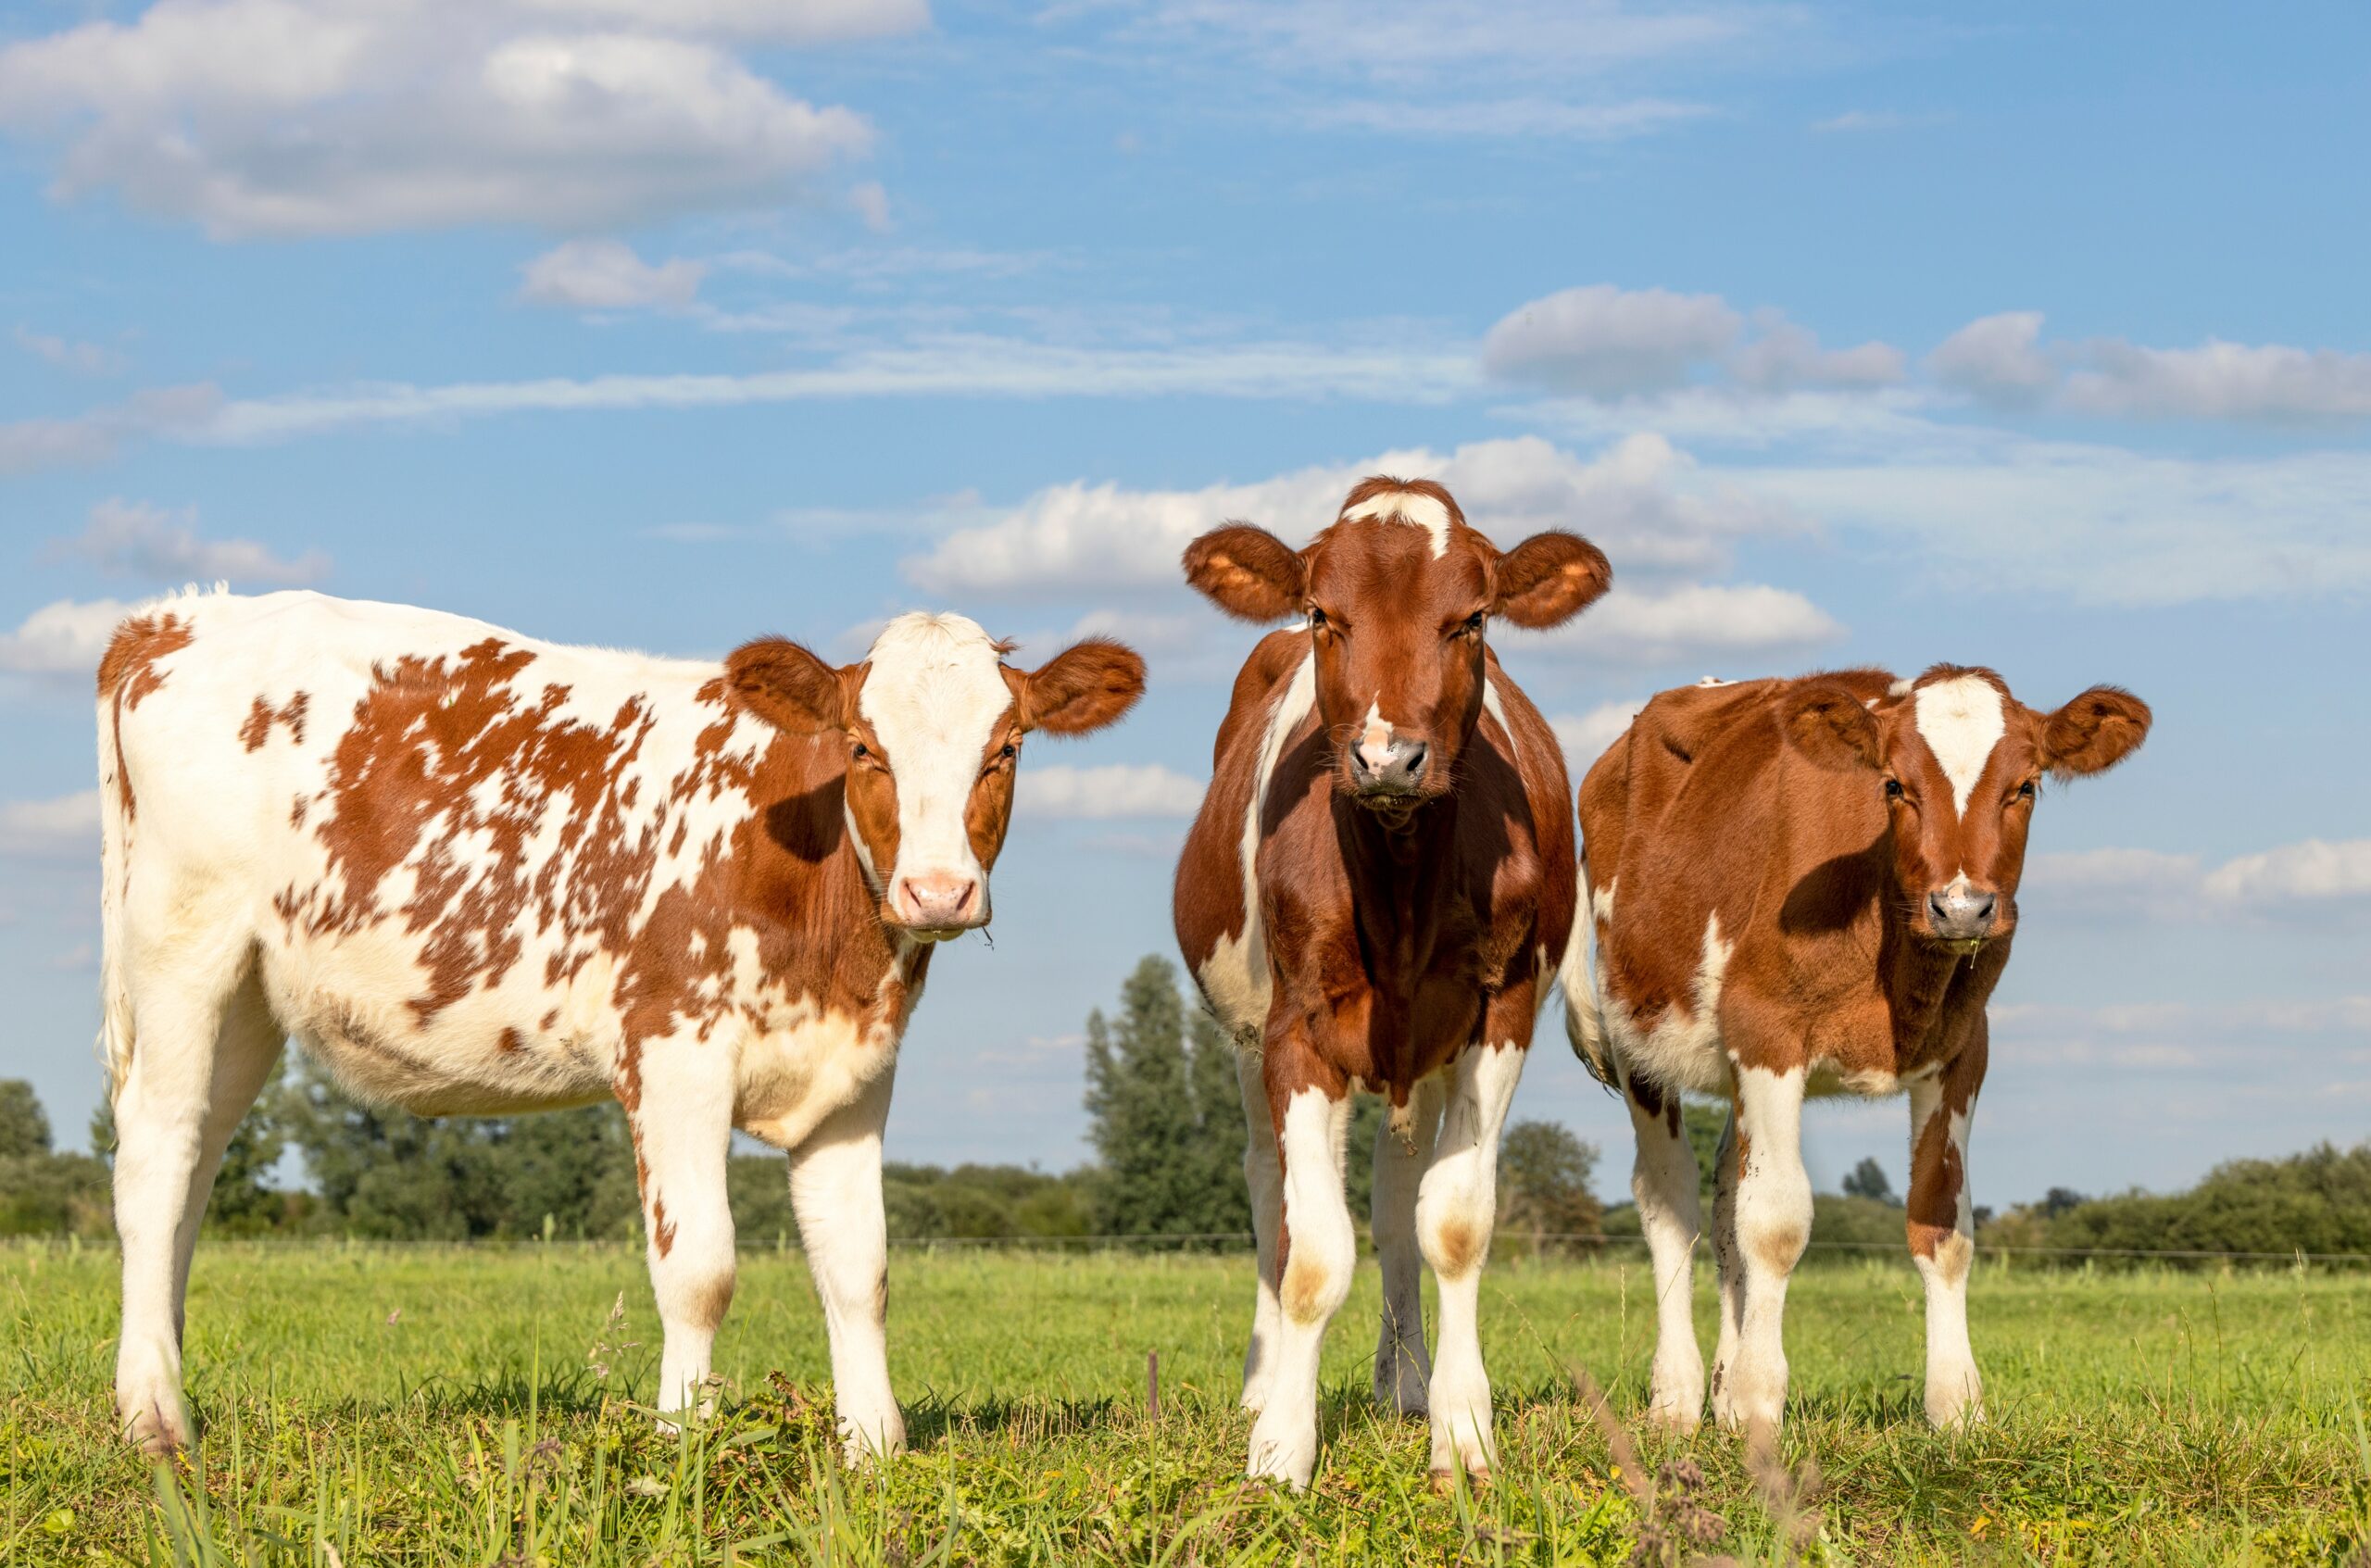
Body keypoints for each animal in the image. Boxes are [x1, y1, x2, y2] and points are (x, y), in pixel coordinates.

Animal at [95, 588, 1143, 1457]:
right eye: (861, 747)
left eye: (1006, 748)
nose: (937, 890)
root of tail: (172, 619)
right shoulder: (674, 1051)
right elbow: (700, 1268)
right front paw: (682, 1440)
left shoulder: (857, 1071)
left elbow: (859, 1266)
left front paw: (872, 1452)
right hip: (184, 948)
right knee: (153, 1154)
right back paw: (153, 1416)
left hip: (248, 996)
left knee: (196, 1161)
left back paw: (168, 1370)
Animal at [1172, 477, 1610, 1489]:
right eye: (1321, 613)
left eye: (1472, 617)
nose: (1385, 759)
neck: (1400, 874)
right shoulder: (1295, 1029)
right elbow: (1311, 1252)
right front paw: (1279, 1448)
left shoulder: (1500, 1014)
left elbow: (1449, 1223)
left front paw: (1462, 1430)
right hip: (1245, 1037)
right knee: (1271, 1189)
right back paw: (1262, 1382)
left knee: (1394, 1189)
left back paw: (1405, 1380)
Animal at [1561, 665, 2150, 1434]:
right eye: (1894, 785)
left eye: (2025, 786)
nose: (1962, 908)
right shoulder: (1766, 1033)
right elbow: (1776, 1222)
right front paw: (1761, 1401)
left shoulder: (1962, 1049)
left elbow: (1941, 1222)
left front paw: (1956, 1406)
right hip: (1640, 1040)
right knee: (1670, 1206)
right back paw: (1677, 1398)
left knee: (1724, 1204)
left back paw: (1721, 1390)